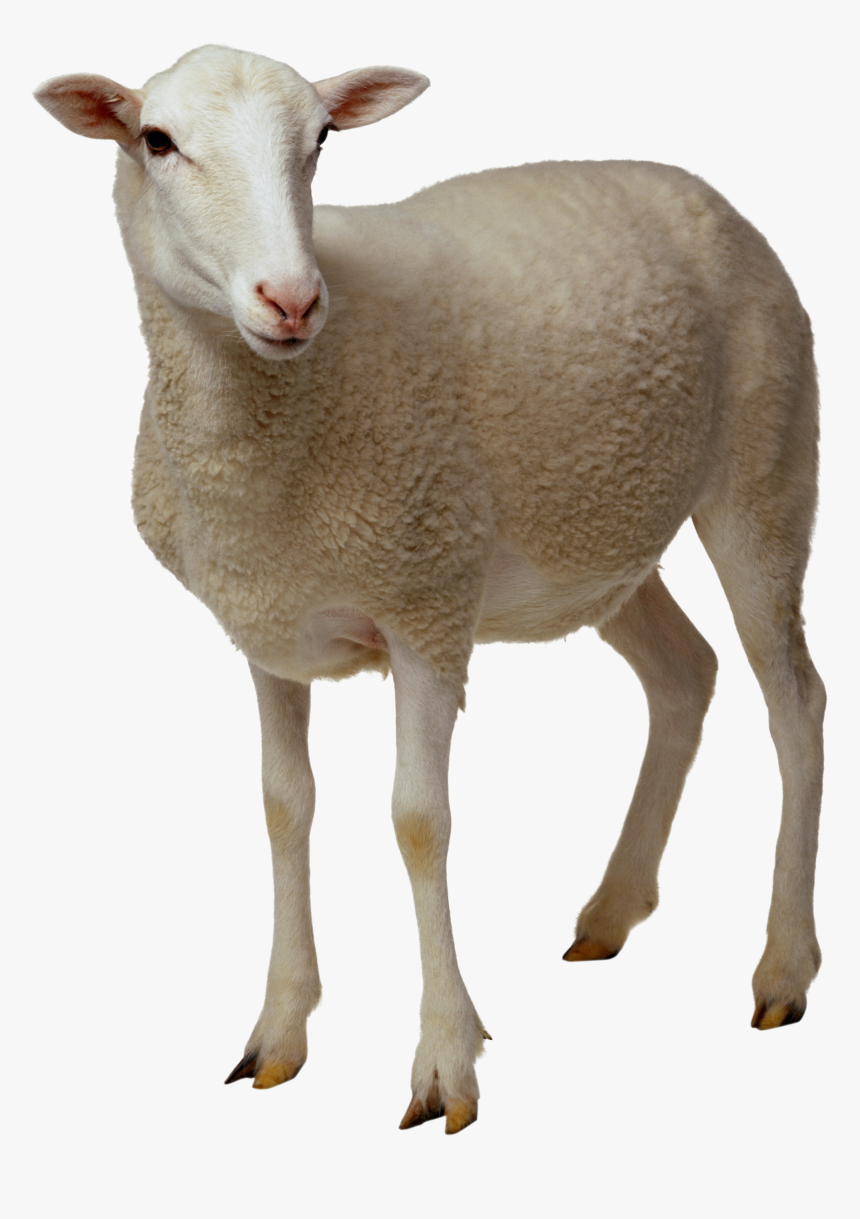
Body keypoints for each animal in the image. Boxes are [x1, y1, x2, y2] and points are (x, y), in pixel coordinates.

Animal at [34, 43, 825, 1136]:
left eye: (322, 140)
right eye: (156, 140)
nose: (291, 299)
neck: (279, 414)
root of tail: (696, 188)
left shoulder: (426, 607)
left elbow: (418, 820)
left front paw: (446, 1061)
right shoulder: (268, 626)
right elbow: (283, 805)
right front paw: (279, 1032)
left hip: (765, 463)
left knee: (794, 701)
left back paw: (783, 965)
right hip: (600, 539)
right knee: (684, 673)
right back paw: (611, 909)